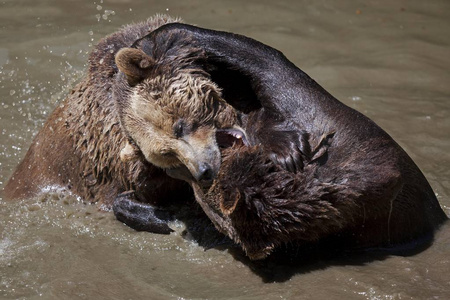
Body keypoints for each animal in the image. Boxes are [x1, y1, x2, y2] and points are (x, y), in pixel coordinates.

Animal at [120, 22, 450, 258]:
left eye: (180, 128)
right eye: (170, 161)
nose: (202, 172)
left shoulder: (336, 129)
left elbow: (267, 64)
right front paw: (150, 212)